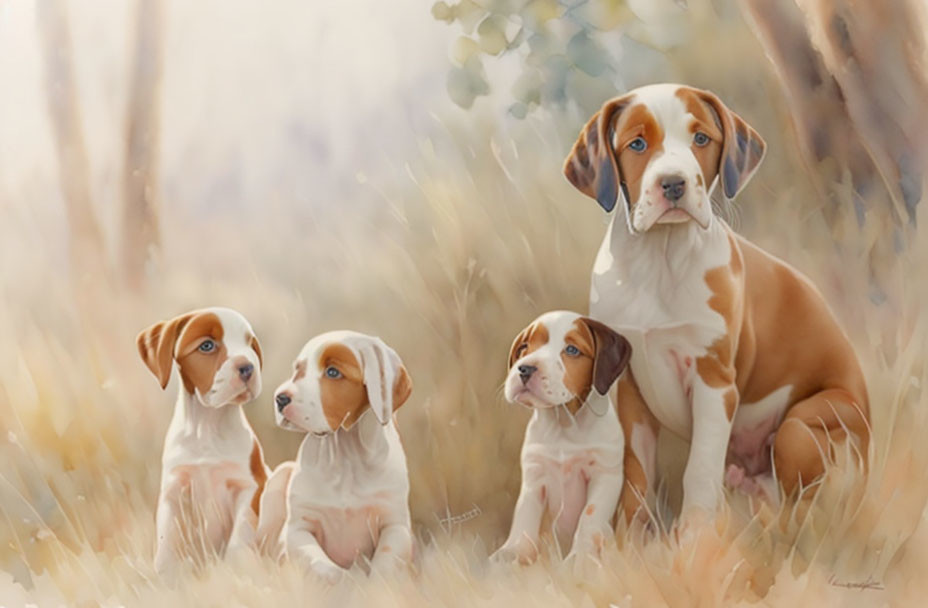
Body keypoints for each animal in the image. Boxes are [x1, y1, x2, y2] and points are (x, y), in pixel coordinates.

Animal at [138, 306, 268, 576]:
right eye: (207, 345)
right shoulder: (173, 491)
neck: (209, 427)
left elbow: (239, 537)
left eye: (249, 344)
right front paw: (166, 575)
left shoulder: (250, 487)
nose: (248, 367)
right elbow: (167, 538)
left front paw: (238, 572)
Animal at [254, 332, 414, 584]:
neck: (344, 455)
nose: (280, 398)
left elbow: (384, 565)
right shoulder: (298, 529)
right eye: (298, 369)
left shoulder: (396, 525)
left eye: (333, 372)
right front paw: (347, 582)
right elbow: (323, 565)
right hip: (278, 480)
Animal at [492, 312, 632, 568]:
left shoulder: (605, 475)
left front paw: (581, 558)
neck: (564, 426)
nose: (524, 369)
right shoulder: (534, 478)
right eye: (524, 347)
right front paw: (513, 552)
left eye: (572, 350)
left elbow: (589, 517)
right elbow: (524, 518)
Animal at [560, 83, 872, 524]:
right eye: (637, 144)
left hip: (802, 425)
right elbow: (636, 473)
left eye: (701, 139)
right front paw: (626, 537)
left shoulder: (713, 381)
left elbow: (699, 469)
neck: (659, 258)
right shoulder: (629, 385)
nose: (673, 184)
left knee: (804, 502)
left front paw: (694, 534)